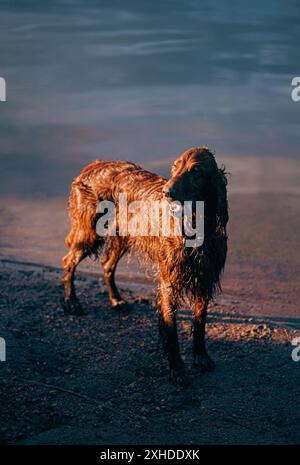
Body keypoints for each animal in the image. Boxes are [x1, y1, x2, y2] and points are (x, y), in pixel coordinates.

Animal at [62, 147, 229, 382]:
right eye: (174, 167)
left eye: (195, 170)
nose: (167, 192)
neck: (196, 224)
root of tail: (93, 164)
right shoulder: (168, 283)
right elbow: (171, 330)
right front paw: (177, 369)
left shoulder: (204, 279)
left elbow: (200, 322)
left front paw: (200, 357)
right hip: (89, 232)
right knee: (68, 261)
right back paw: (71, 302)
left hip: (122, 234)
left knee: (107, 264)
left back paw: (116, 300)